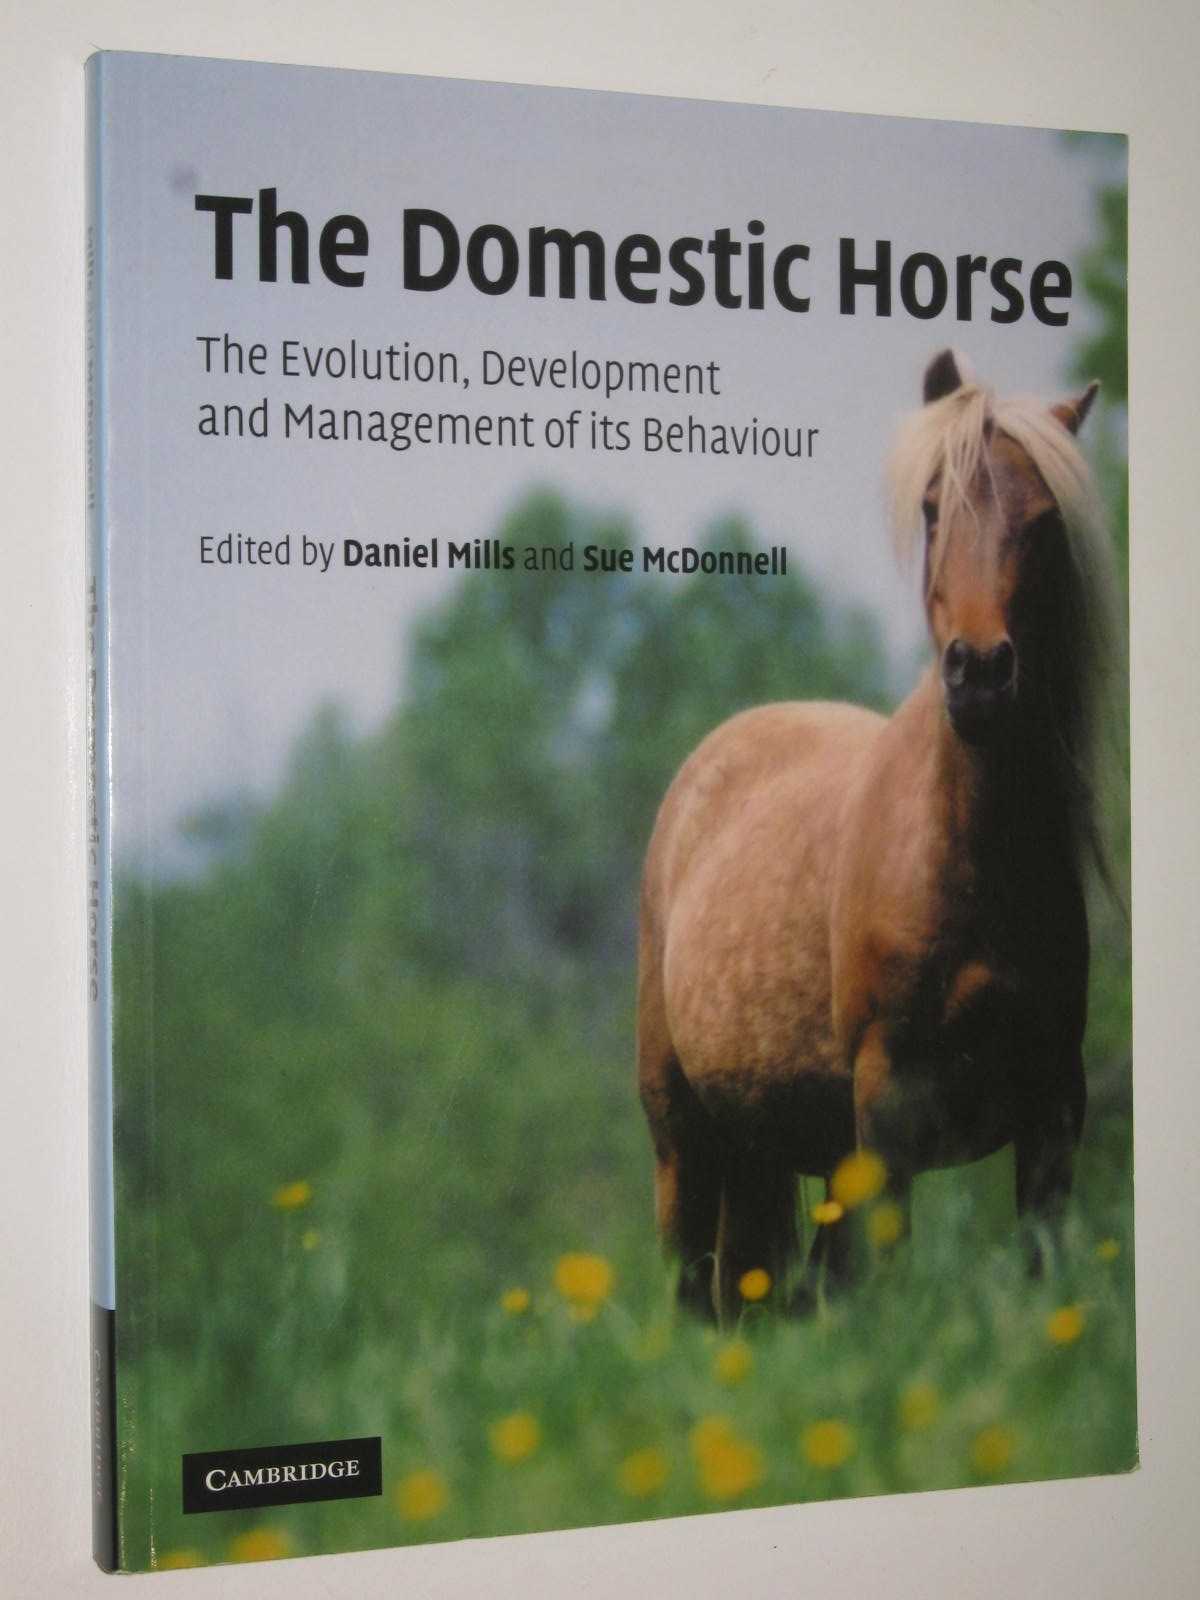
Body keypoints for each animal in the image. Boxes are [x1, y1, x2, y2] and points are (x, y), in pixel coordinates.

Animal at [637, 348, 1117, 1322]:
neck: (968, 863)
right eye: (933, 507)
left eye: (1045, 521)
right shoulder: (888, 1111)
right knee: (692, 1290)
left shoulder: (1054, 1109)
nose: (980, 673)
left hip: (777, 1151)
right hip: (682, 1138)